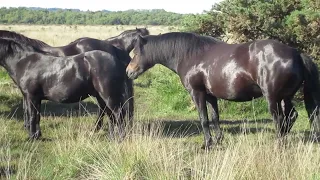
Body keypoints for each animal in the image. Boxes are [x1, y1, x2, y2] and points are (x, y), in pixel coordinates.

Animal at [125, 32, 320, 149]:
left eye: (136, 53)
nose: (128, 71)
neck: (191, 55)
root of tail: (296, 53)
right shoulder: (211, 96)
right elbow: (214, 117)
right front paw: (219, 139)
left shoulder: (197, 93)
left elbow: (203, 119)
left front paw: (207, 143)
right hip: (285, 97)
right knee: (291, 116)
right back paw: (284, 138)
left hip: (272, 97)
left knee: (279, 118)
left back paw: (278, 143)